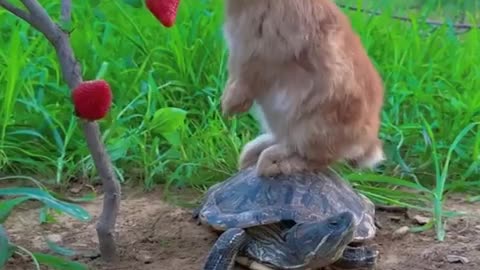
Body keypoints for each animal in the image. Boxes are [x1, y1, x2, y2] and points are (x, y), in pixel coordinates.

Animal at [222, 0, 386, 177]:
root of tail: (366, 143)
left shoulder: (258, 55)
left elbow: (245, 76)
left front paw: (229, 106)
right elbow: (236, 73)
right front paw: (228, 106)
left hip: (311, 129)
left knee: (316, 159)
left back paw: (272, 163)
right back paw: (252, 154)